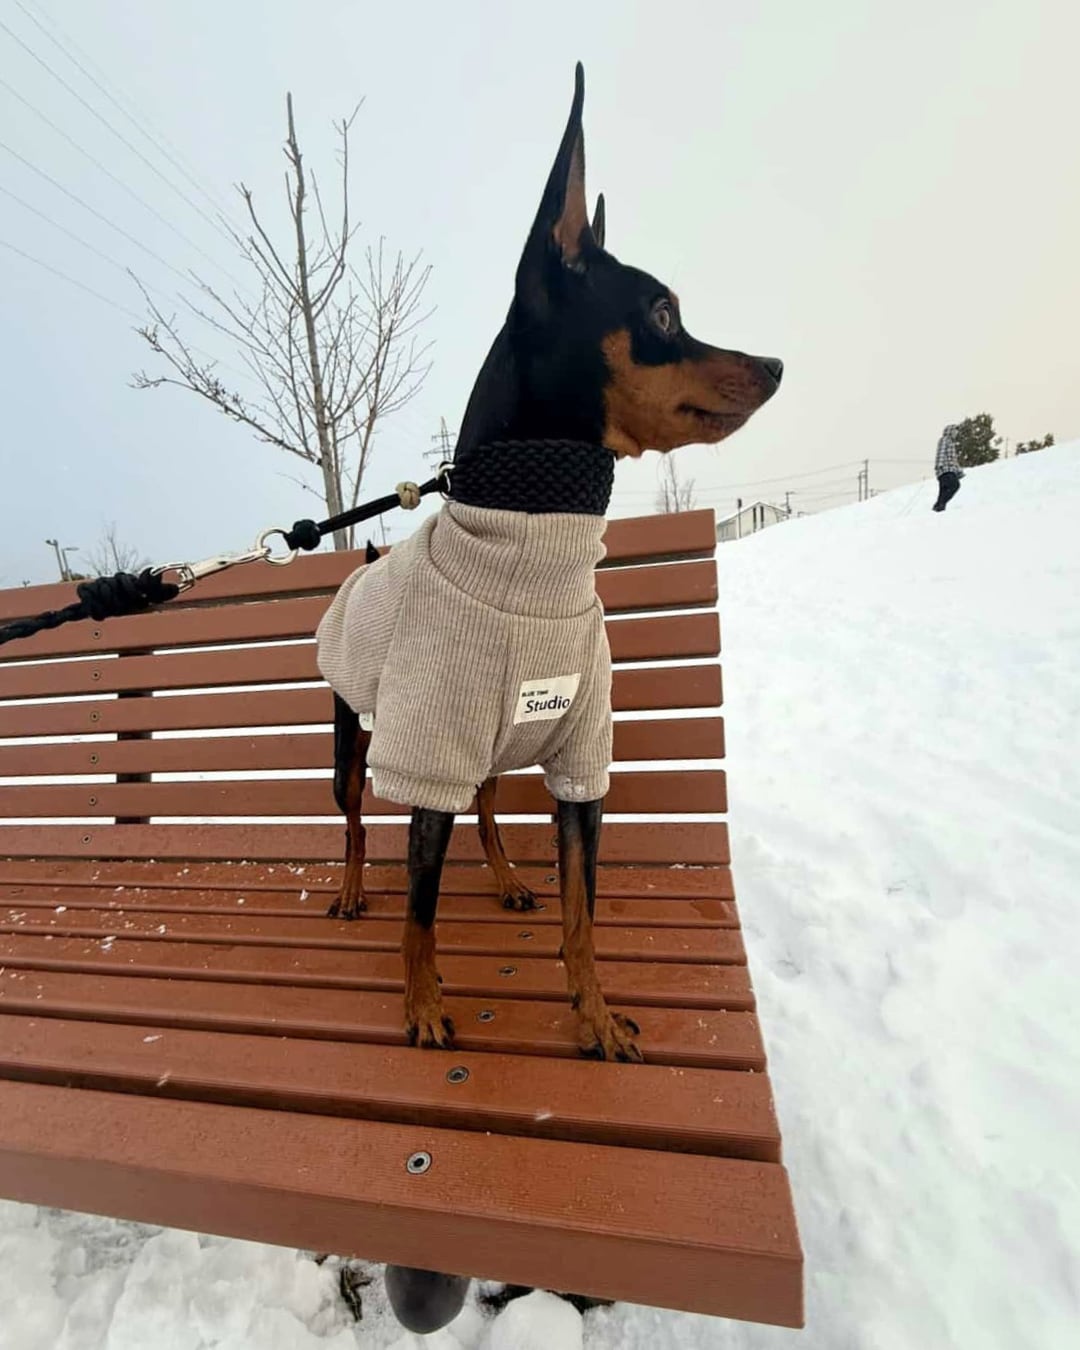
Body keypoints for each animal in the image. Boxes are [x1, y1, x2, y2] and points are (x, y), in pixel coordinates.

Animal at [316, 64, 781, 1063]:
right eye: (662, 311)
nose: (773, 363)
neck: (533, 550)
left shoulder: (578, 758)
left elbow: (582, 912)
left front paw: (596, 1015)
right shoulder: (428, 747)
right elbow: (419, 909)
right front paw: (422, 1004)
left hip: (488, 750)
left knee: (487, 808)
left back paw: (501, 876)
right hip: (354, 741)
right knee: (357, 821)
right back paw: (352, 887)